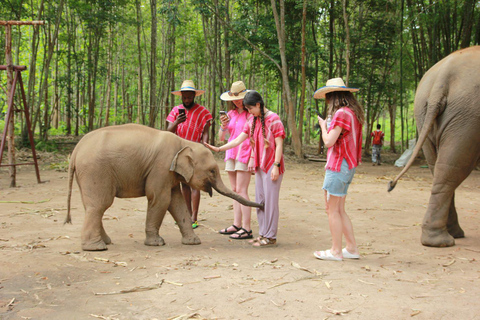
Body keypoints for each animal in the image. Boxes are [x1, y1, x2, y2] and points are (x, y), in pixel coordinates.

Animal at [65, 124, 262, 251]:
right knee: (99, 205)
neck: (183, 143)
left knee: (92, 206)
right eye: (212, 171)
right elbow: (160, 199)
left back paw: (106, 242)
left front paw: (194, 242)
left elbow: (177, 202)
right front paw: (157, 243)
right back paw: (96, 248)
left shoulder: (170, 173)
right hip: (96, 170)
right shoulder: (161, 167)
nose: (262, 205)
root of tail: (75, 151)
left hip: (88, 174)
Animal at [388, 46, 480, 249]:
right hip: (468, 117)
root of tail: (442, 79)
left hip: (424, 113)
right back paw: (442, 241)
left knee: (440, 167)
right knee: (453, 167)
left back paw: (450, 235)